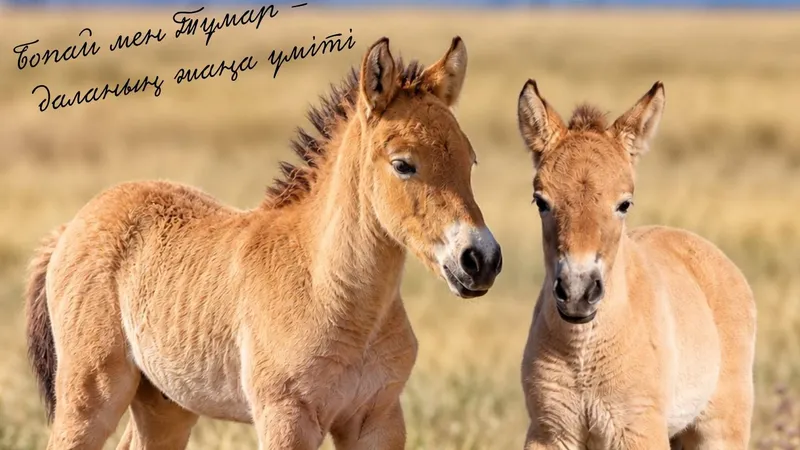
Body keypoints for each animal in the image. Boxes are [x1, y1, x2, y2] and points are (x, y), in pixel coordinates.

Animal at [24, 36, 503, 450]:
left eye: (471, 160)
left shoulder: (379, 418)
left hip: (165, 403)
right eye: (403, 164)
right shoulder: (286, 418)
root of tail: (71, 227)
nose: (480, 259)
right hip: (91, 394)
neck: (330, 293)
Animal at [516, 80, 756, 449]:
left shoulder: (638, 431)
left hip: (720, 428)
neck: (582, 354)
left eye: (624, 203)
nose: (577, 292)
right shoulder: (550, 432)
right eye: (540, 201)